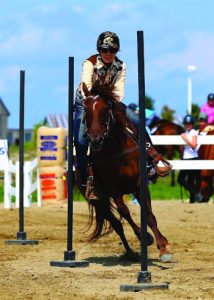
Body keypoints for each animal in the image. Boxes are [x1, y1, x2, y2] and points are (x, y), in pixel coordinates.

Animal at [80, 81, 172, 262]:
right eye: (85, 108)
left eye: (105, 108)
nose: (95, 140)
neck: (116, 152)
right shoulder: (113, 189)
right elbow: (124, 212)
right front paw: (145, 237)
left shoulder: (139, 184)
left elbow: (149, 215)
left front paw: (163, 247)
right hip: (99, 201)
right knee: (116, 224)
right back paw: (129, 252)